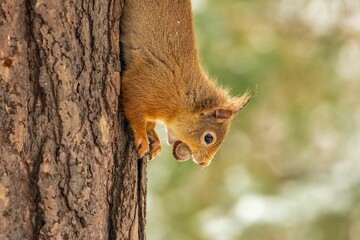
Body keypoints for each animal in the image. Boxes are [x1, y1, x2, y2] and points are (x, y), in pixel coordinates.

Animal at [121, 0, 250, 167]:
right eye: (209, 138)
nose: (204, 163)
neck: (182, 98)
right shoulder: (145, 85)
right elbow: (134, 111)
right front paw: (143, 137)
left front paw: (154, 138)